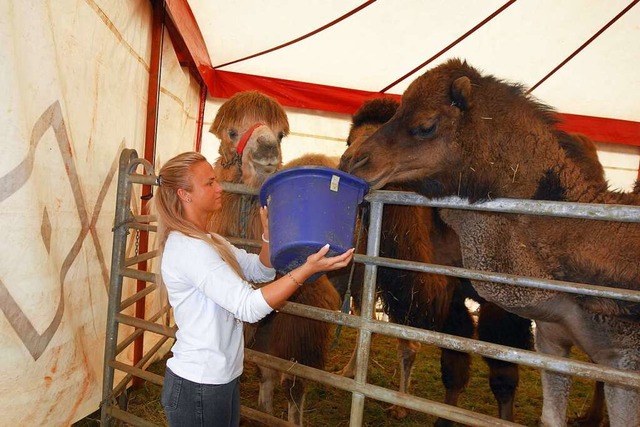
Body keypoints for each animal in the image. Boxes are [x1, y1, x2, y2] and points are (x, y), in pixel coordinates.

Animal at [340, 57, 640, 427]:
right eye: (347, 139)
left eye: (426, 125)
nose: (352, 161)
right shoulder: (452, 289)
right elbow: (453, 366)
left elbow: (503, 372)